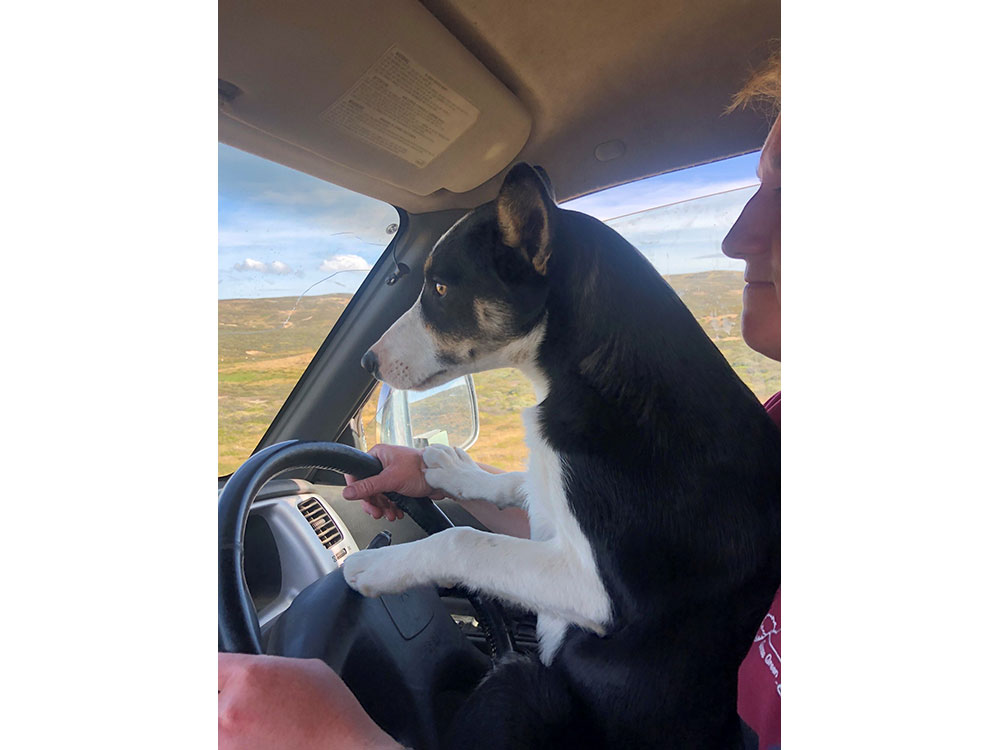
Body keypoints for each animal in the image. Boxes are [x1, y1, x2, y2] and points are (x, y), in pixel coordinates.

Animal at [344, 164, 780, 750]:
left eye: (439, 287)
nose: (367, 362)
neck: (600, 375)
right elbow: (520, 481)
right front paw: (451, 469)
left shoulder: (598, 594)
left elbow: (463, 540)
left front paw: (377, 565)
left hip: (522, 688)